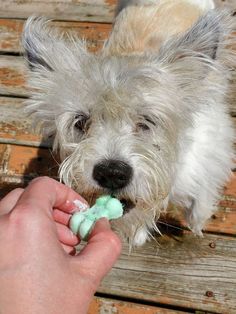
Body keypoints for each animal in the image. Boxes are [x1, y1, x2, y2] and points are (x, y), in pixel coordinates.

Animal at [21, 0, 234, 245]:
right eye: (80, 122)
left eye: (147, 121)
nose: (112, 173)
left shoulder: (211, 149)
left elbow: (202, 196)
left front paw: (197, 223)